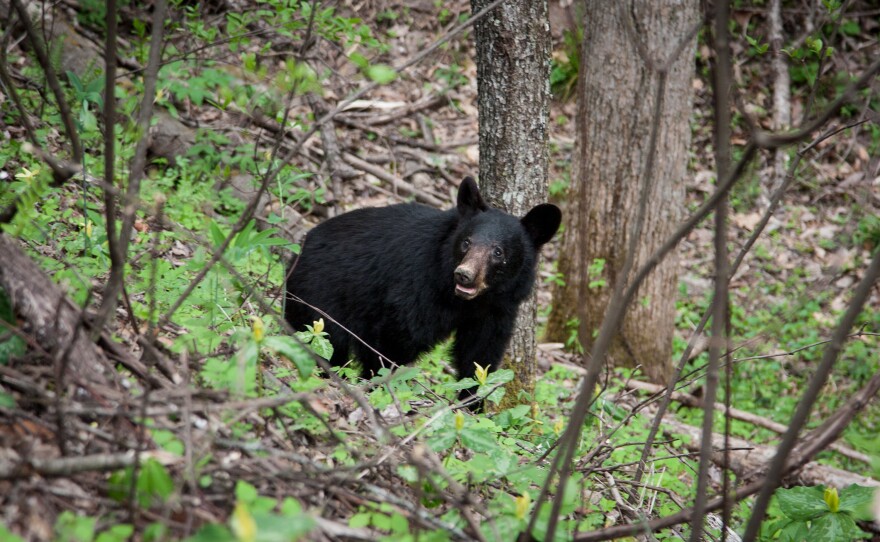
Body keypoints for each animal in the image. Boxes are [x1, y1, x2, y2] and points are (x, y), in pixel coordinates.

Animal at [284, 177, 561, 391]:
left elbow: (479, 355)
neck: (464, 301)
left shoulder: (498, 309)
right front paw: (377, 386)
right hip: (319, 296)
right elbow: (393, 337)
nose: (464, 274)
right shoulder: (418, 285)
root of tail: (299, 250)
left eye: (498, 252)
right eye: (466, 242)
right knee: (326, 341)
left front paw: (471, 404)